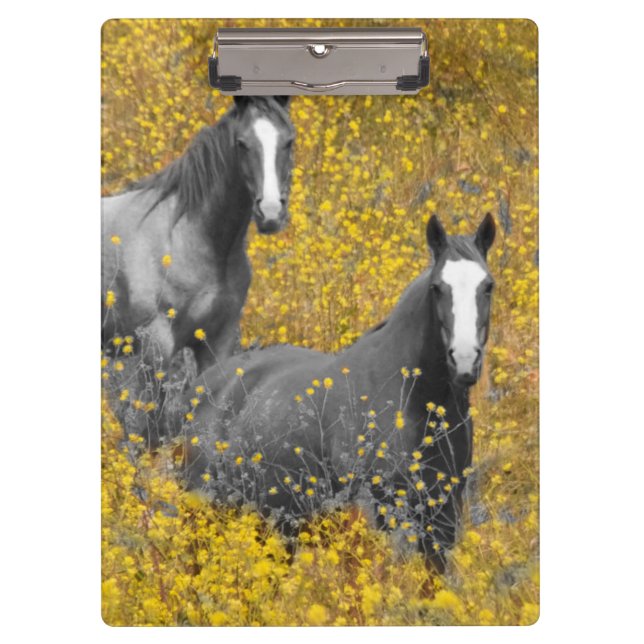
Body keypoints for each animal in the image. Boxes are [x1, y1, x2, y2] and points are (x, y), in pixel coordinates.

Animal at [101, 96, 295, 445]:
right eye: (242, 143)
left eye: (289, 141)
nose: (271, 213)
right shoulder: (156, 346)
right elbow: (152, 428)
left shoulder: (216, 342)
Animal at [180, 214, 496, 573]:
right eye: (437, 288)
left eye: (488, 285)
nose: (465, 360)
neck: (412, 399)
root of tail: (203, 386)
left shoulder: (441, 522)